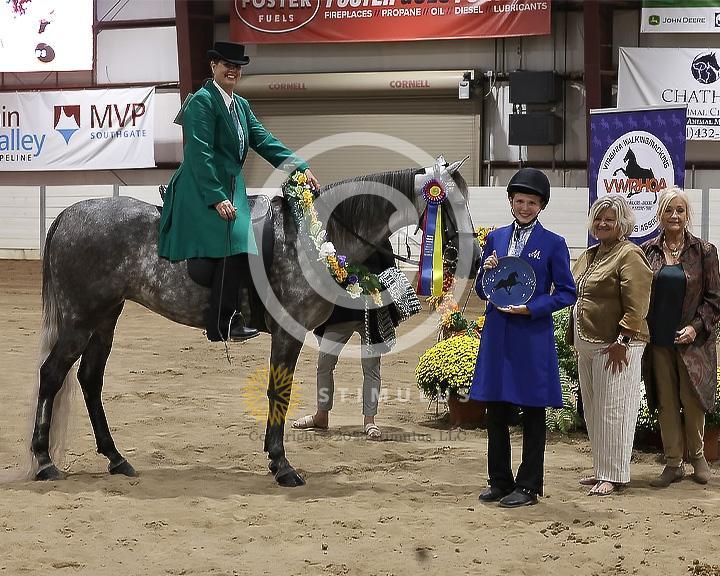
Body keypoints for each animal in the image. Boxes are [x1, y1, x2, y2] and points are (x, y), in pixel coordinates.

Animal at [30, 159, 481, 487]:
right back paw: (44, 461)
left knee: (89, 380)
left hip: (105, 319)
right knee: (51, 375)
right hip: (81, 321)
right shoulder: (288, 332)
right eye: (452, 206)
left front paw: (275, 458)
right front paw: (282, 465)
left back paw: (115, 458)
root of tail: (69, 214)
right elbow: (278, 391)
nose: (474, 260)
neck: (313, 237)